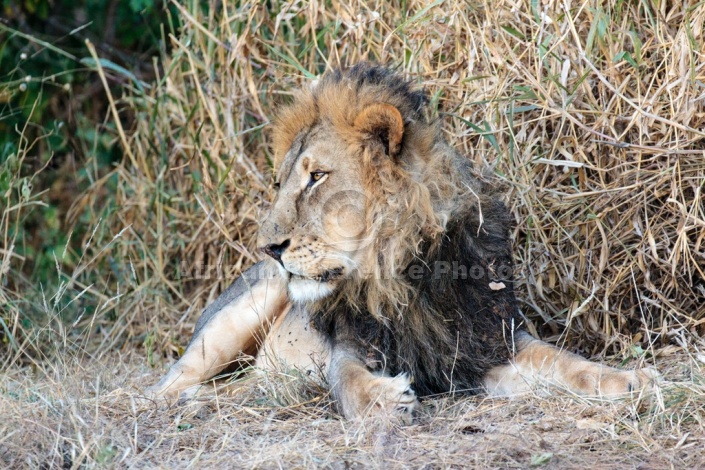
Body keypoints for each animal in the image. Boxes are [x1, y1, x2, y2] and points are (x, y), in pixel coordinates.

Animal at [147, 64, 656, 420]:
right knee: (166, 385)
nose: (268, 247)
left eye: (316, 177)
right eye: (281, 183)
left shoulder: (486, 342)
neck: (401, 270)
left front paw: (631, 380)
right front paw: (384, 401)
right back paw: (190, 401)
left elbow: (566, 362)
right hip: (240, 313)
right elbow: (348, 380)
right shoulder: (353, 344)